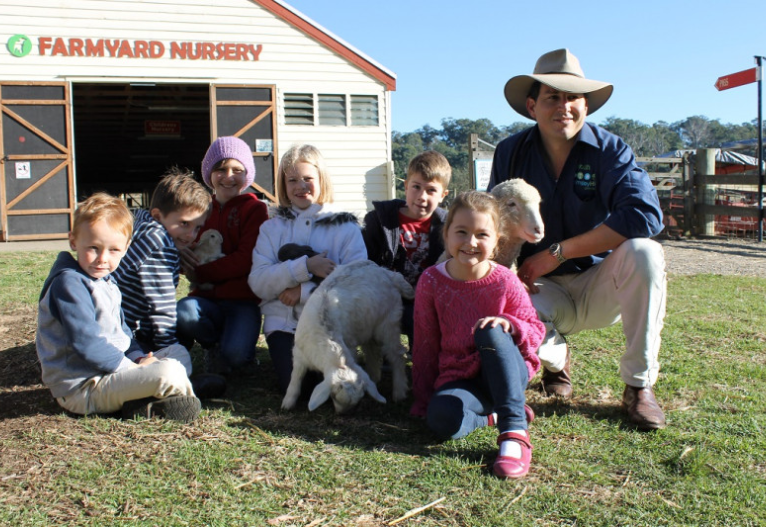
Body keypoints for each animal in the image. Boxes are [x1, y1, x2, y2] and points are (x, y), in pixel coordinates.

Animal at [280, 262, 414, 414]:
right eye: (333, 396)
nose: (342, 414)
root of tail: (388, 273)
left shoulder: (349, 345)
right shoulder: (299, 354)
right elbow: (295, 379)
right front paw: (287, 403)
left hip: (388, 322)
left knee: (396, 356)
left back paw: (399, 392)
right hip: (367, 325)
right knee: (373, 351)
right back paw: (374, 377)